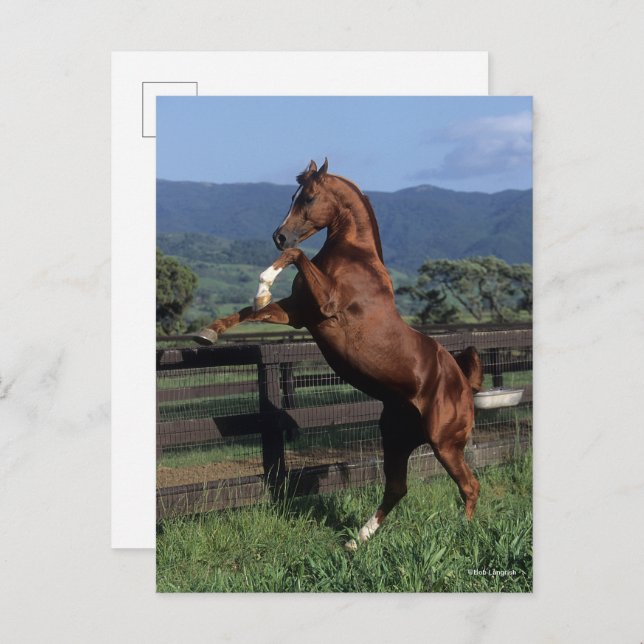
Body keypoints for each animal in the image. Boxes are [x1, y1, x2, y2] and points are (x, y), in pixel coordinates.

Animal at [194, 159, 483, 549]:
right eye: (292, 196)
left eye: (309, 197)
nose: (279, 236)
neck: (353, 257)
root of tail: (465, 383)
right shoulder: (299, 313)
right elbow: (248, 312)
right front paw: (208, 332)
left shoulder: (325, 305)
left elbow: (296, 256)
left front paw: (263, 283)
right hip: (396, 438)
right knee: (397, 487)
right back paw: (356, 540)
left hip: (445, 443)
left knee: (470, 485)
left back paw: (462, 533)